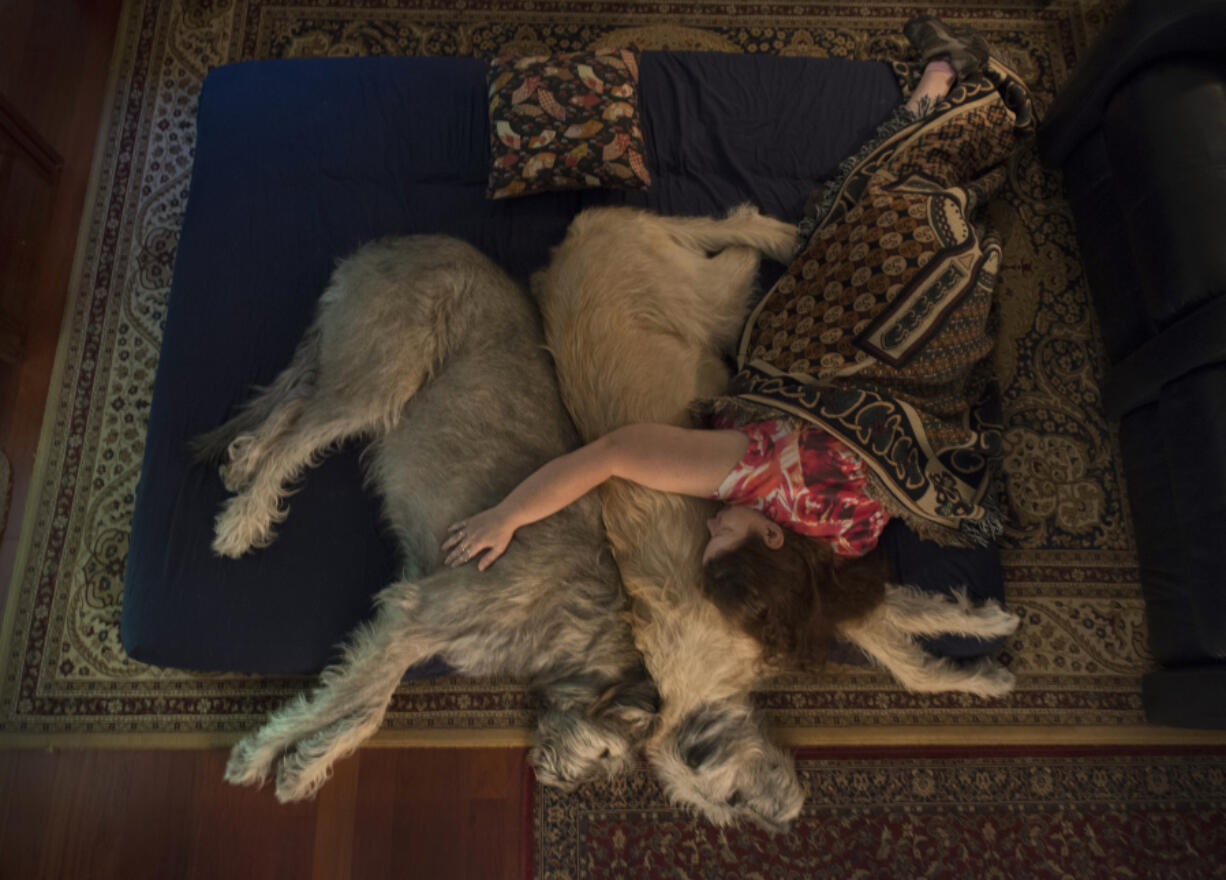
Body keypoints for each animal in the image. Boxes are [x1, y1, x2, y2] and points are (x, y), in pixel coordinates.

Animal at [198, 236, 662, 808]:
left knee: (297, 402)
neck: (577, 613)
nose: (556, 783)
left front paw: (306, 765)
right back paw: (243, 519)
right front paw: (258, 754)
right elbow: (345, 699)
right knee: (298, 433)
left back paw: (245, 463)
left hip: (358, 365)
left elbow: (369, 705)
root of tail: (398, 241)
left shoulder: (411, 611)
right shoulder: (418, 614)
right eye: (604, 753)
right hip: (384, 376)